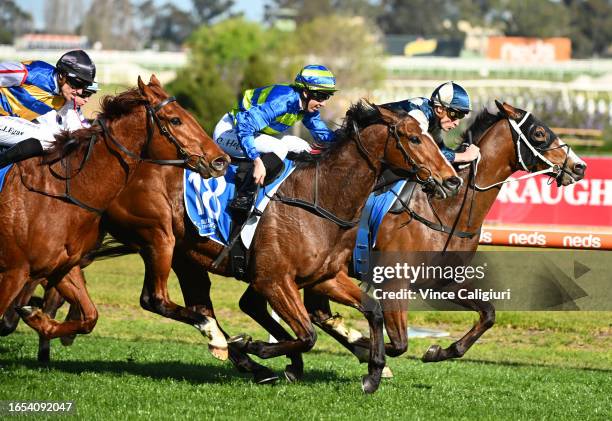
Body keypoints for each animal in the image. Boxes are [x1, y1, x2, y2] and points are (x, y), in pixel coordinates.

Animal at [0, 74, 230, 340]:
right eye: (175, 119)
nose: (221, 160)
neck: (60, 191)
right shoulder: (12, 272)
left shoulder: (62, 267)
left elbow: (90, 317)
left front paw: (35, 316)